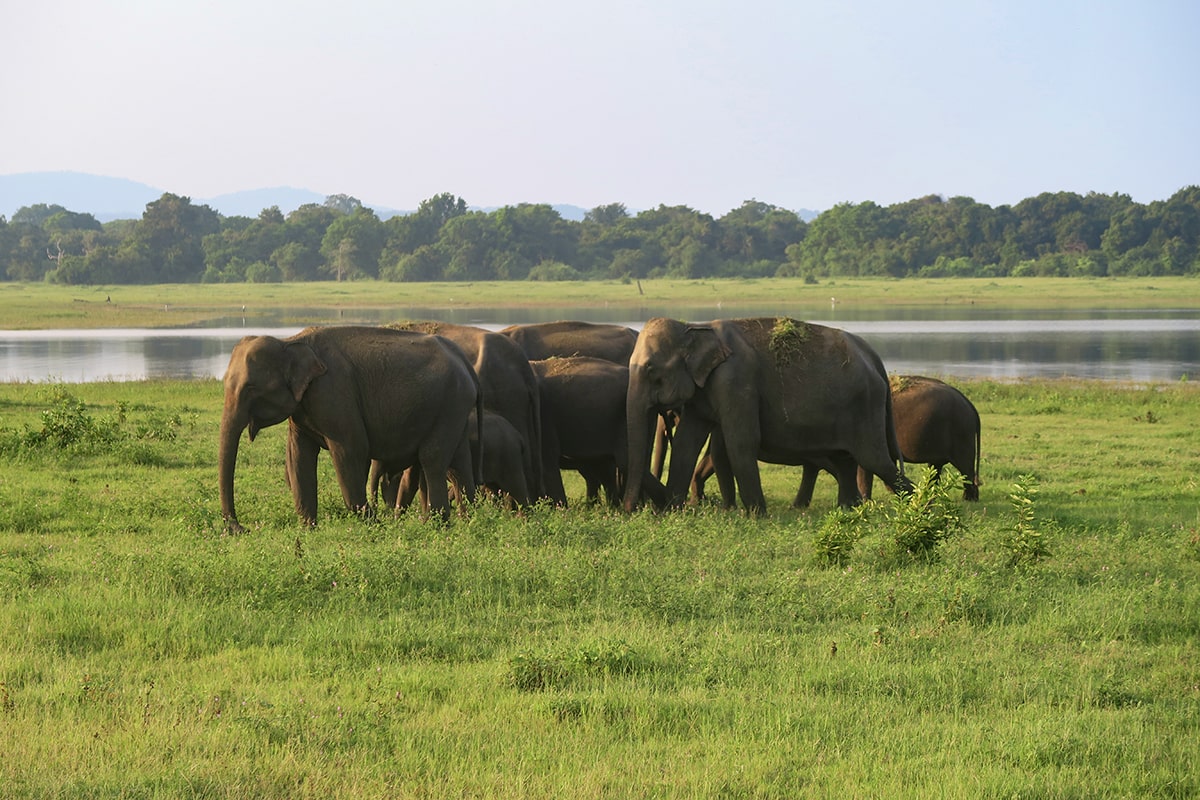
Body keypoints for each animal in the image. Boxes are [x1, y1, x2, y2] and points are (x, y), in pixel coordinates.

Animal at [218, 326, 480, 532]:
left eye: (250, 388)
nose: (242, 529)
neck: (291, 341)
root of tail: (463, 361)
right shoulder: (303, 407)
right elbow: (299, 456)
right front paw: (309, 529)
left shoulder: (334, 393)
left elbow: (351, 450)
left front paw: (373, 525)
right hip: (454, 410)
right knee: (459, 462)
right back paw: (470, 520)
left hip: (450, 403)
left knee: (432, 459)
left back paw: (437, 525)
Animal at [624, 316, 902, 515]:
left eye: (651, 369)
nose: (630, 512)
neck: (696, 327)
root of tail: (875, 358)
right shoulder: (703, 391)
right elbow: (685, 444)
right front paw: (672, 512)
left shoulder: (736, 381)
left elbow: (741, 442)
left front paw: (756, 514)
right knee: (846, 462)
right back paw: (849, 509)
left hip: (865, 407)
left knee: (875, 459)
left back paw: (910, 506)